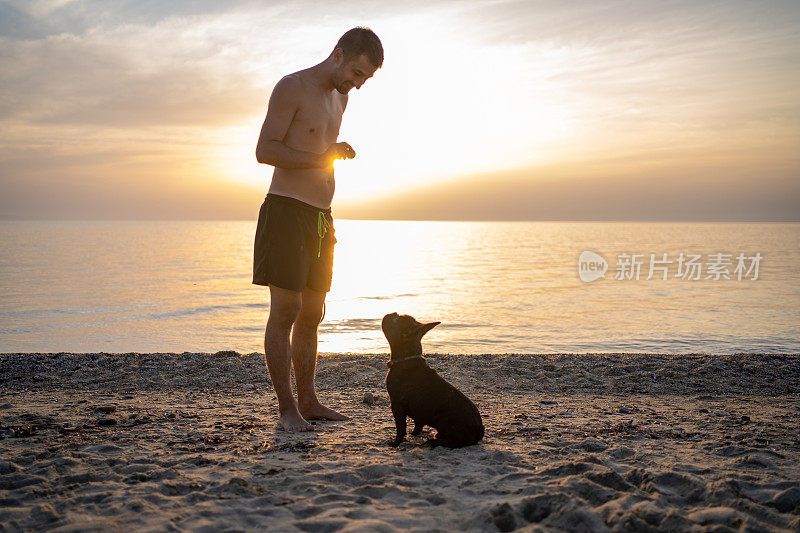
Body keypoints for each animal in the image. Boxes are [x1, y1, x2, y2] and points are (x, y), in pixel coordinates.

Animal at [382, 314, 488, 446]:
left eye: (396, 320)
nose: (393, 313)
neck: (406, 359)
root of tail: (479, 429)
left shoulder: (397, 405)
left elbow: (400, 427)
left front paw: (396, 443)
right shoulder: (419, 411)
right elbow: (418, 423)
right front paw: (415, 433)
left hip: (444, 422)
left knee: (452, 442)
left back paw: (433, 441)